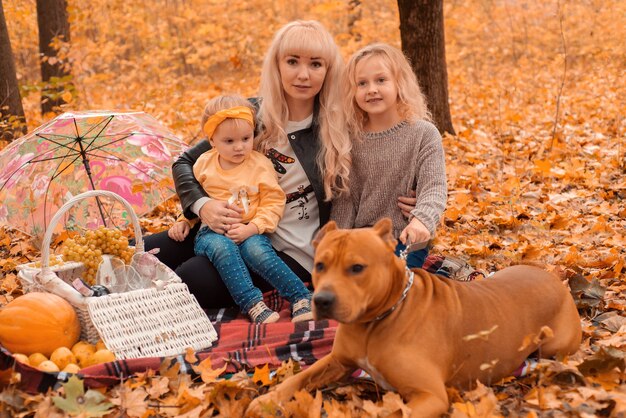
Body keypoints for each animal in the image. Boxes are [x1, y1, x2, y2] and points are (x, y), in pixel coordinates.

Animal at [245, 220, 580, 416]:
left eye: (357, 268)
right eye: (319, 265)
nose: (322, 300)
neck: (377, 320)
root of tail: (553, 278)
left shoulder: (429, 395)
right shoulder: (338, 361)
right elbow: (299, 377)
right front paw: (266, 400)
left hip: (554, 345)